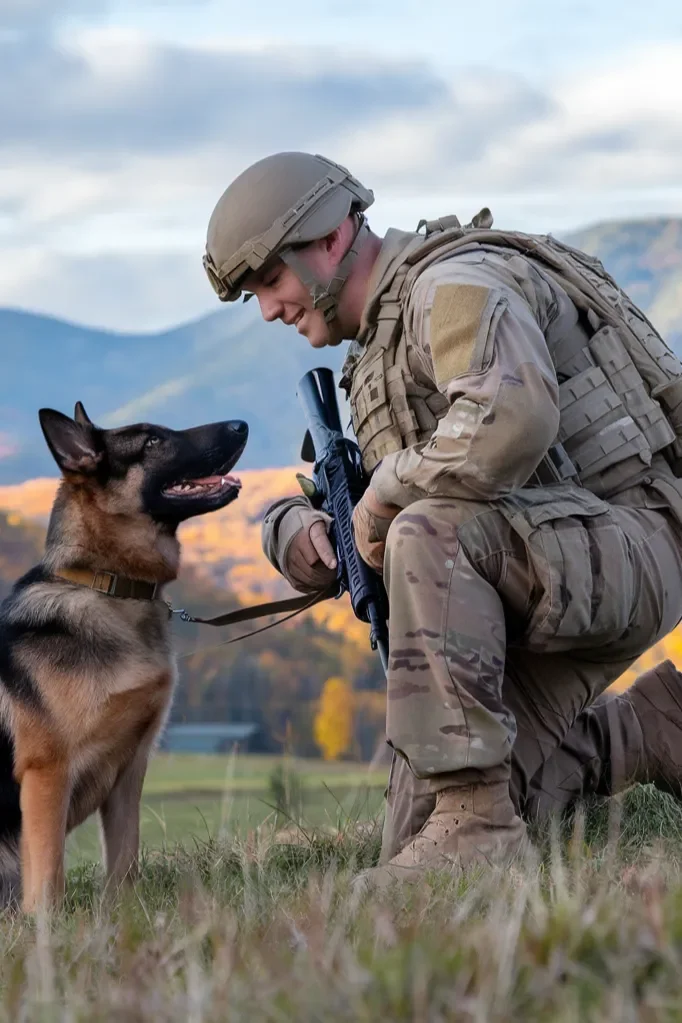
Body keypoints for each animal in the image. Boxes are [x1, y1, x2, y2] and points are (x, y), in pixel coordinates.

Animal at [0, 403, 248, 908]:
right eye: (150, 442)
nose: (242, 425)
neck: (109, 585)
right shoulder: (45, 777)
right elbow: (49, 877)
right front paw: (47, 927)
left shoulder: (128, 774)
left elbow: (124, 862)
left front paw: (124, 917)